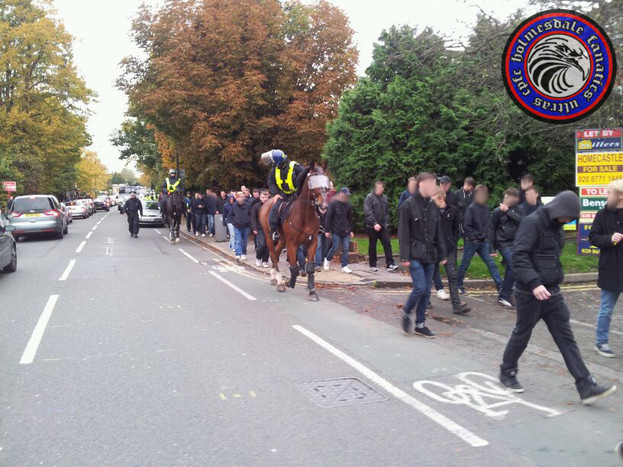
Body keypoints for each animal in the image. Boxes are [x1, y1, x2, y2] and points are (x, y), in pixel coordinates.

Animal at [258, 163, 332, 302]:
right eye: (312, 181)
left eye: (326, 180)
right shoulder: (292, 244)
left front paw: (312, 292)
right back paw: (280, 282)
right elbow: (294, 268)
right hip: (269, 236)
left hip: (282, 239)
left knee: (275, 254)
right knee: (274, 255)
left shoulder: (313, 242)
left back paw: (274, 277)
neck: (305, 216)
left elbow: (310, 268)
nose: (324, 206)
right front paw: (289, 282)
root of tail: (265, 204)